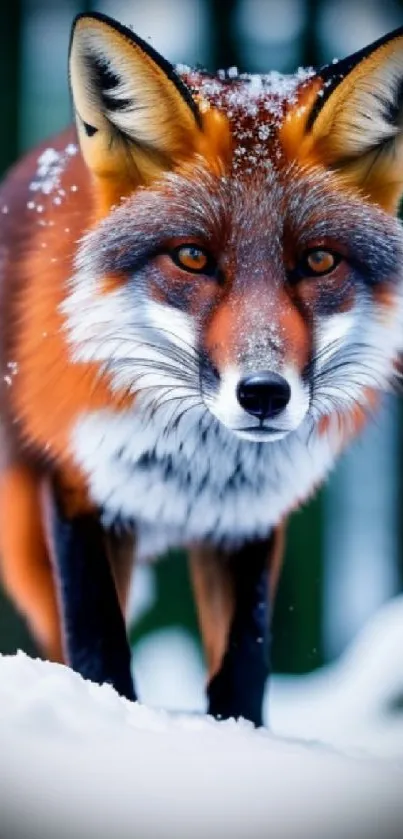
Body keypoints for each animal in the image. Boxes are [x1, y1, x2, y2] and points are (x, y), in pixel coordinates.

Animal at [0, 9, 403, 724]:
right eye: (191, 257)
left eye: (319, 262)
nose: (265, 394)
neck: (196, 466)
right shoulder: (76, 483)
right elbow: (97, 645)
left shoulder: (250, 516)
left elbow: (244, 664)